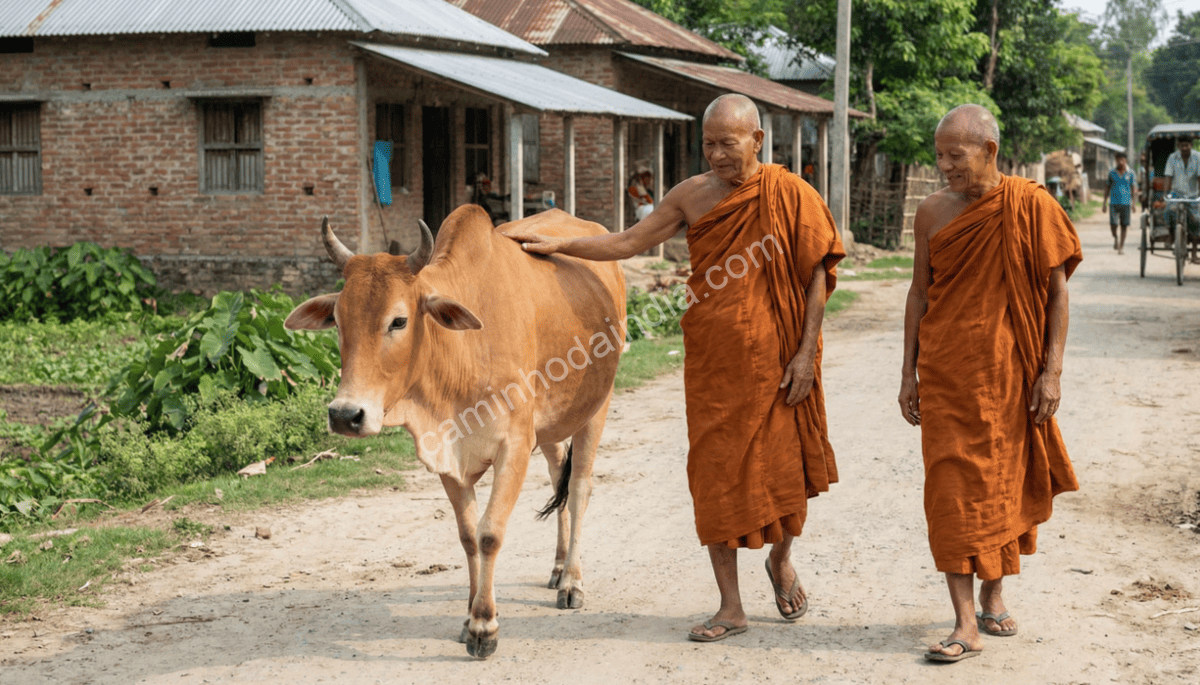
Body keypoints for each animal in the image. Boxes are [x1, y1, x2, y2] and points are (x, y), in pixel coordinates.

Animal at [284, 205, 625, 658]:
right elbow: (467, 536)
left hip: (596, 407)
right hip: (554, 425)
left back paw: (571, 581)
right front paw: (468, 617)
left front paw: (484, 626)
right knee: (559, 481)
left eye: (399, 321)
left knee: (580, 487)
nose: (345, 415)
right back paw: (556, 566)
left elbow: (490, 533)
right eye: (337, 321)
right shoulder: (448, 456)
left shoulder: (515, 446)